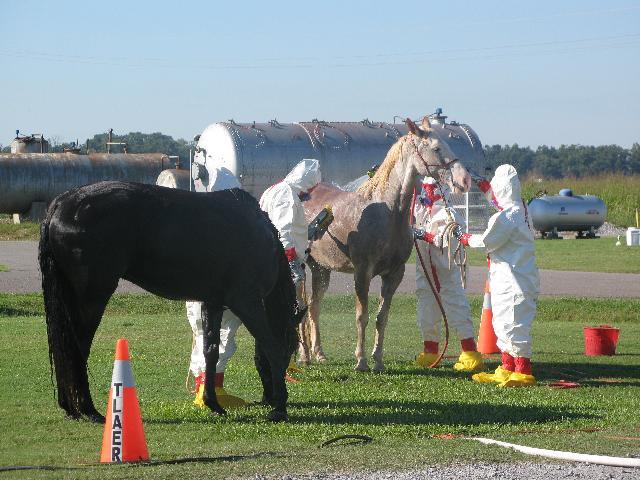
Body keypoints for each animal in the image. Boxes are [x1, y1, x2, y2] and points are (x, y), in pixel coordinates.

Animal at [39, 181, 302, 424]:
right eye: (292, 348)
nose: (268, 398)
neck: (261, 237)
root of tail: (62, 203)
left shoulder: (213, 303)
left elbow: (210, 351)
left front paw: (213, 403)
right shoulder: (247, 303)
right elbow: (271, 347)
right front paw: (280, 408)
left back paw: (71, 407)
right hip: (92, 299)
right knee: (78, 348)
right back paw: (89, 409)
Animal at [300, 118, 470, 374]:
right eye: (437, 148)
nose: (464, 180)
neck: (387, 211)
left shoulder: (394, 274)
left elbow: (382, 317)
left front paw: (378, 360)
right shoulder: (362, 272)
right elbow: (362, 316)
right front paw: (361, 361)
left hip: (320, 269)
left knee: (313, 307)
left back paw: (318, 354)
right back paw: (303, 356)